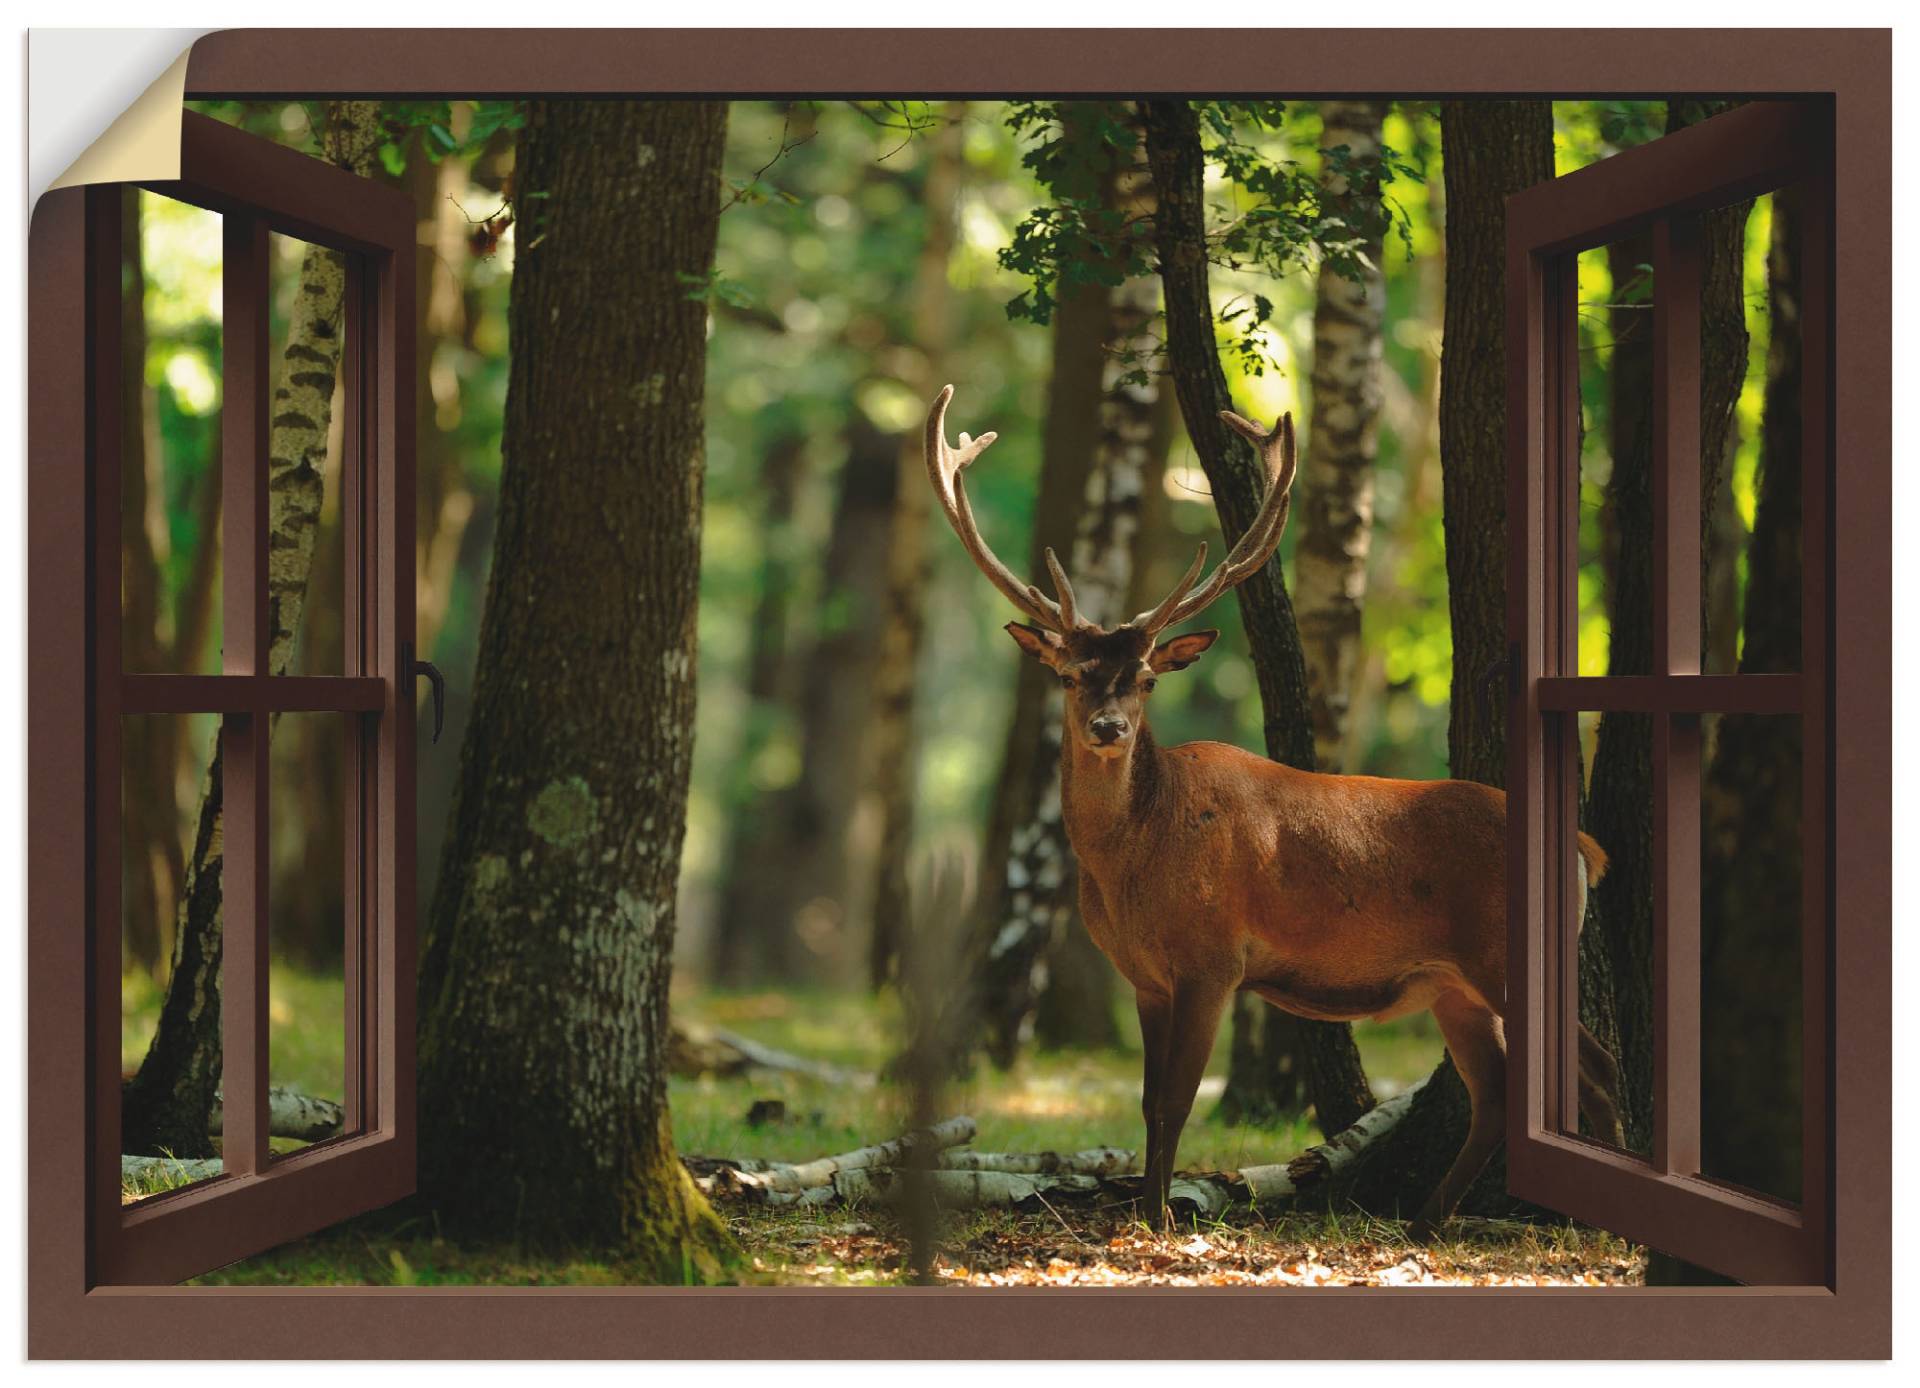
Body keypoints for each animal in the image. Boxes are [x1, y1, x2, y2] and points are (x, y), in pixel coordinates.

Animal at [925, 387, 1620, 1236]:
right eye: (1069, 675)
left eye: (1147, 678)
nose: (1109, 728)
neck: (1133, 859)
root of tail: (1586, 845)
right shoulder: (1146, 978)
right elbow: (1150, 1102)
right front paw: (1146, 1213)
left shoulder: (1213, 958)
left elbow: (1178, 1102)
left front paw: (1159, 1221)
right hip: (1454, 984)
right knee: (1495, 1093)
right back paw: (1427, 1219)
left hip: (1502, 953)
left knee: (1596, 1068)